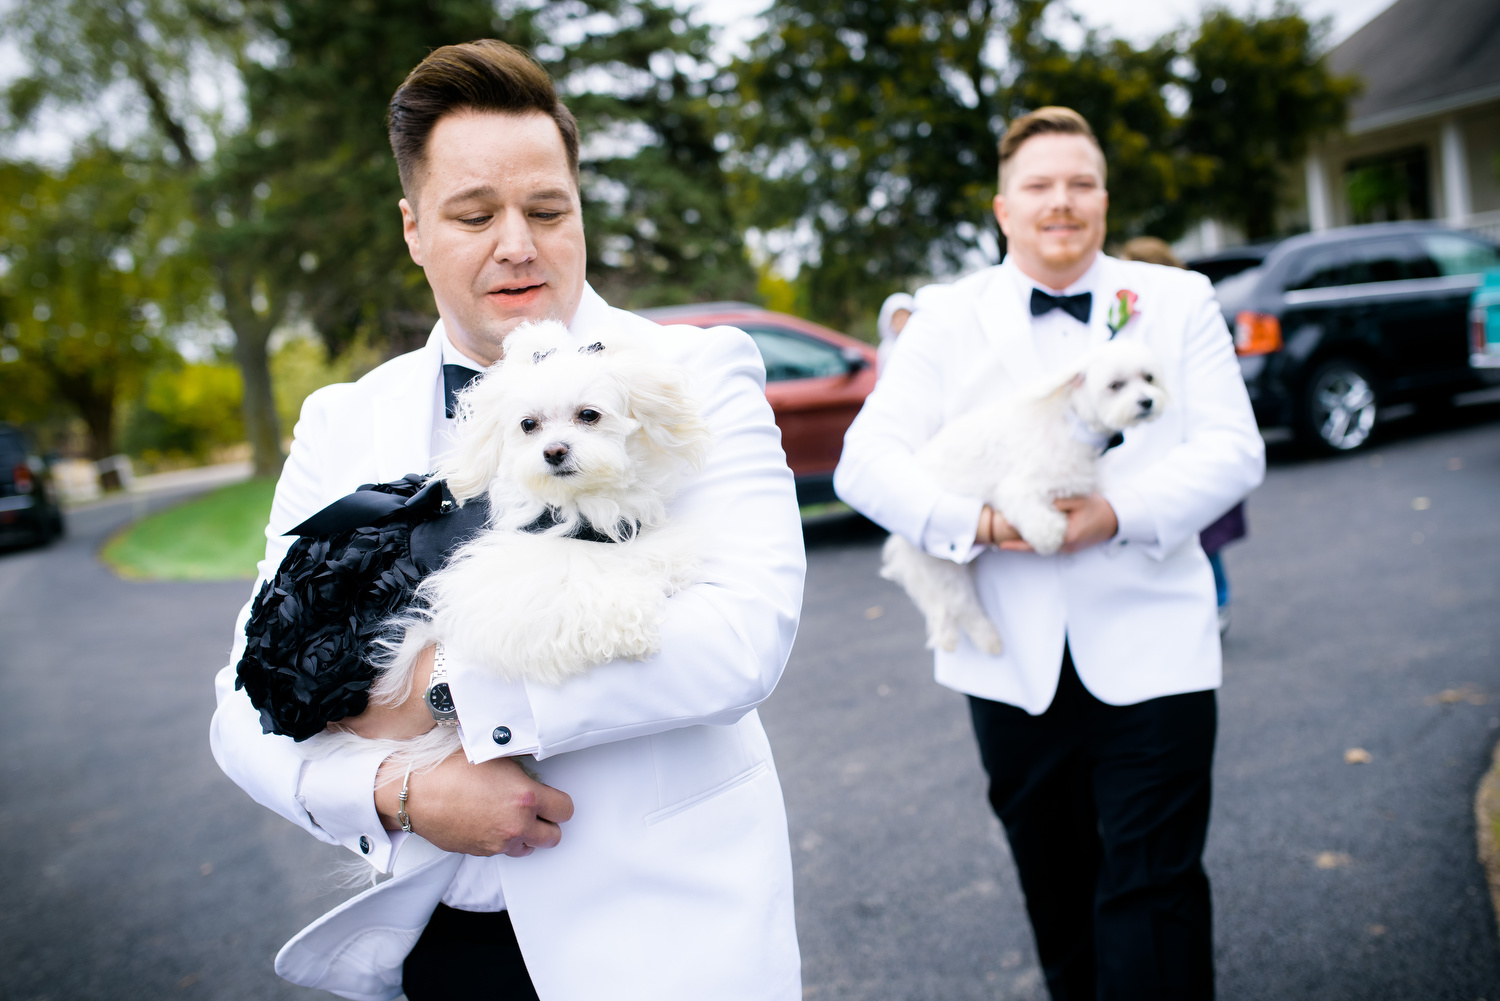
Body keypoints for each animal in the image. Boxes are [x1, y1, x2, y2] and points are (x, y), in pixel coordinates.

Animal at [882, 339, 1164, 657]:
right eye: (1115, 385)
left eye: (1149, 378)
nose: (1147, 401)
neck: (1072, 428)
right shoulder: (1018, 487)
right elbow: (1036, 517)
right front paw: (1049, 535)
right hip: (942, 566)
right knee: (961, 606)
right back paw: (988, 639)